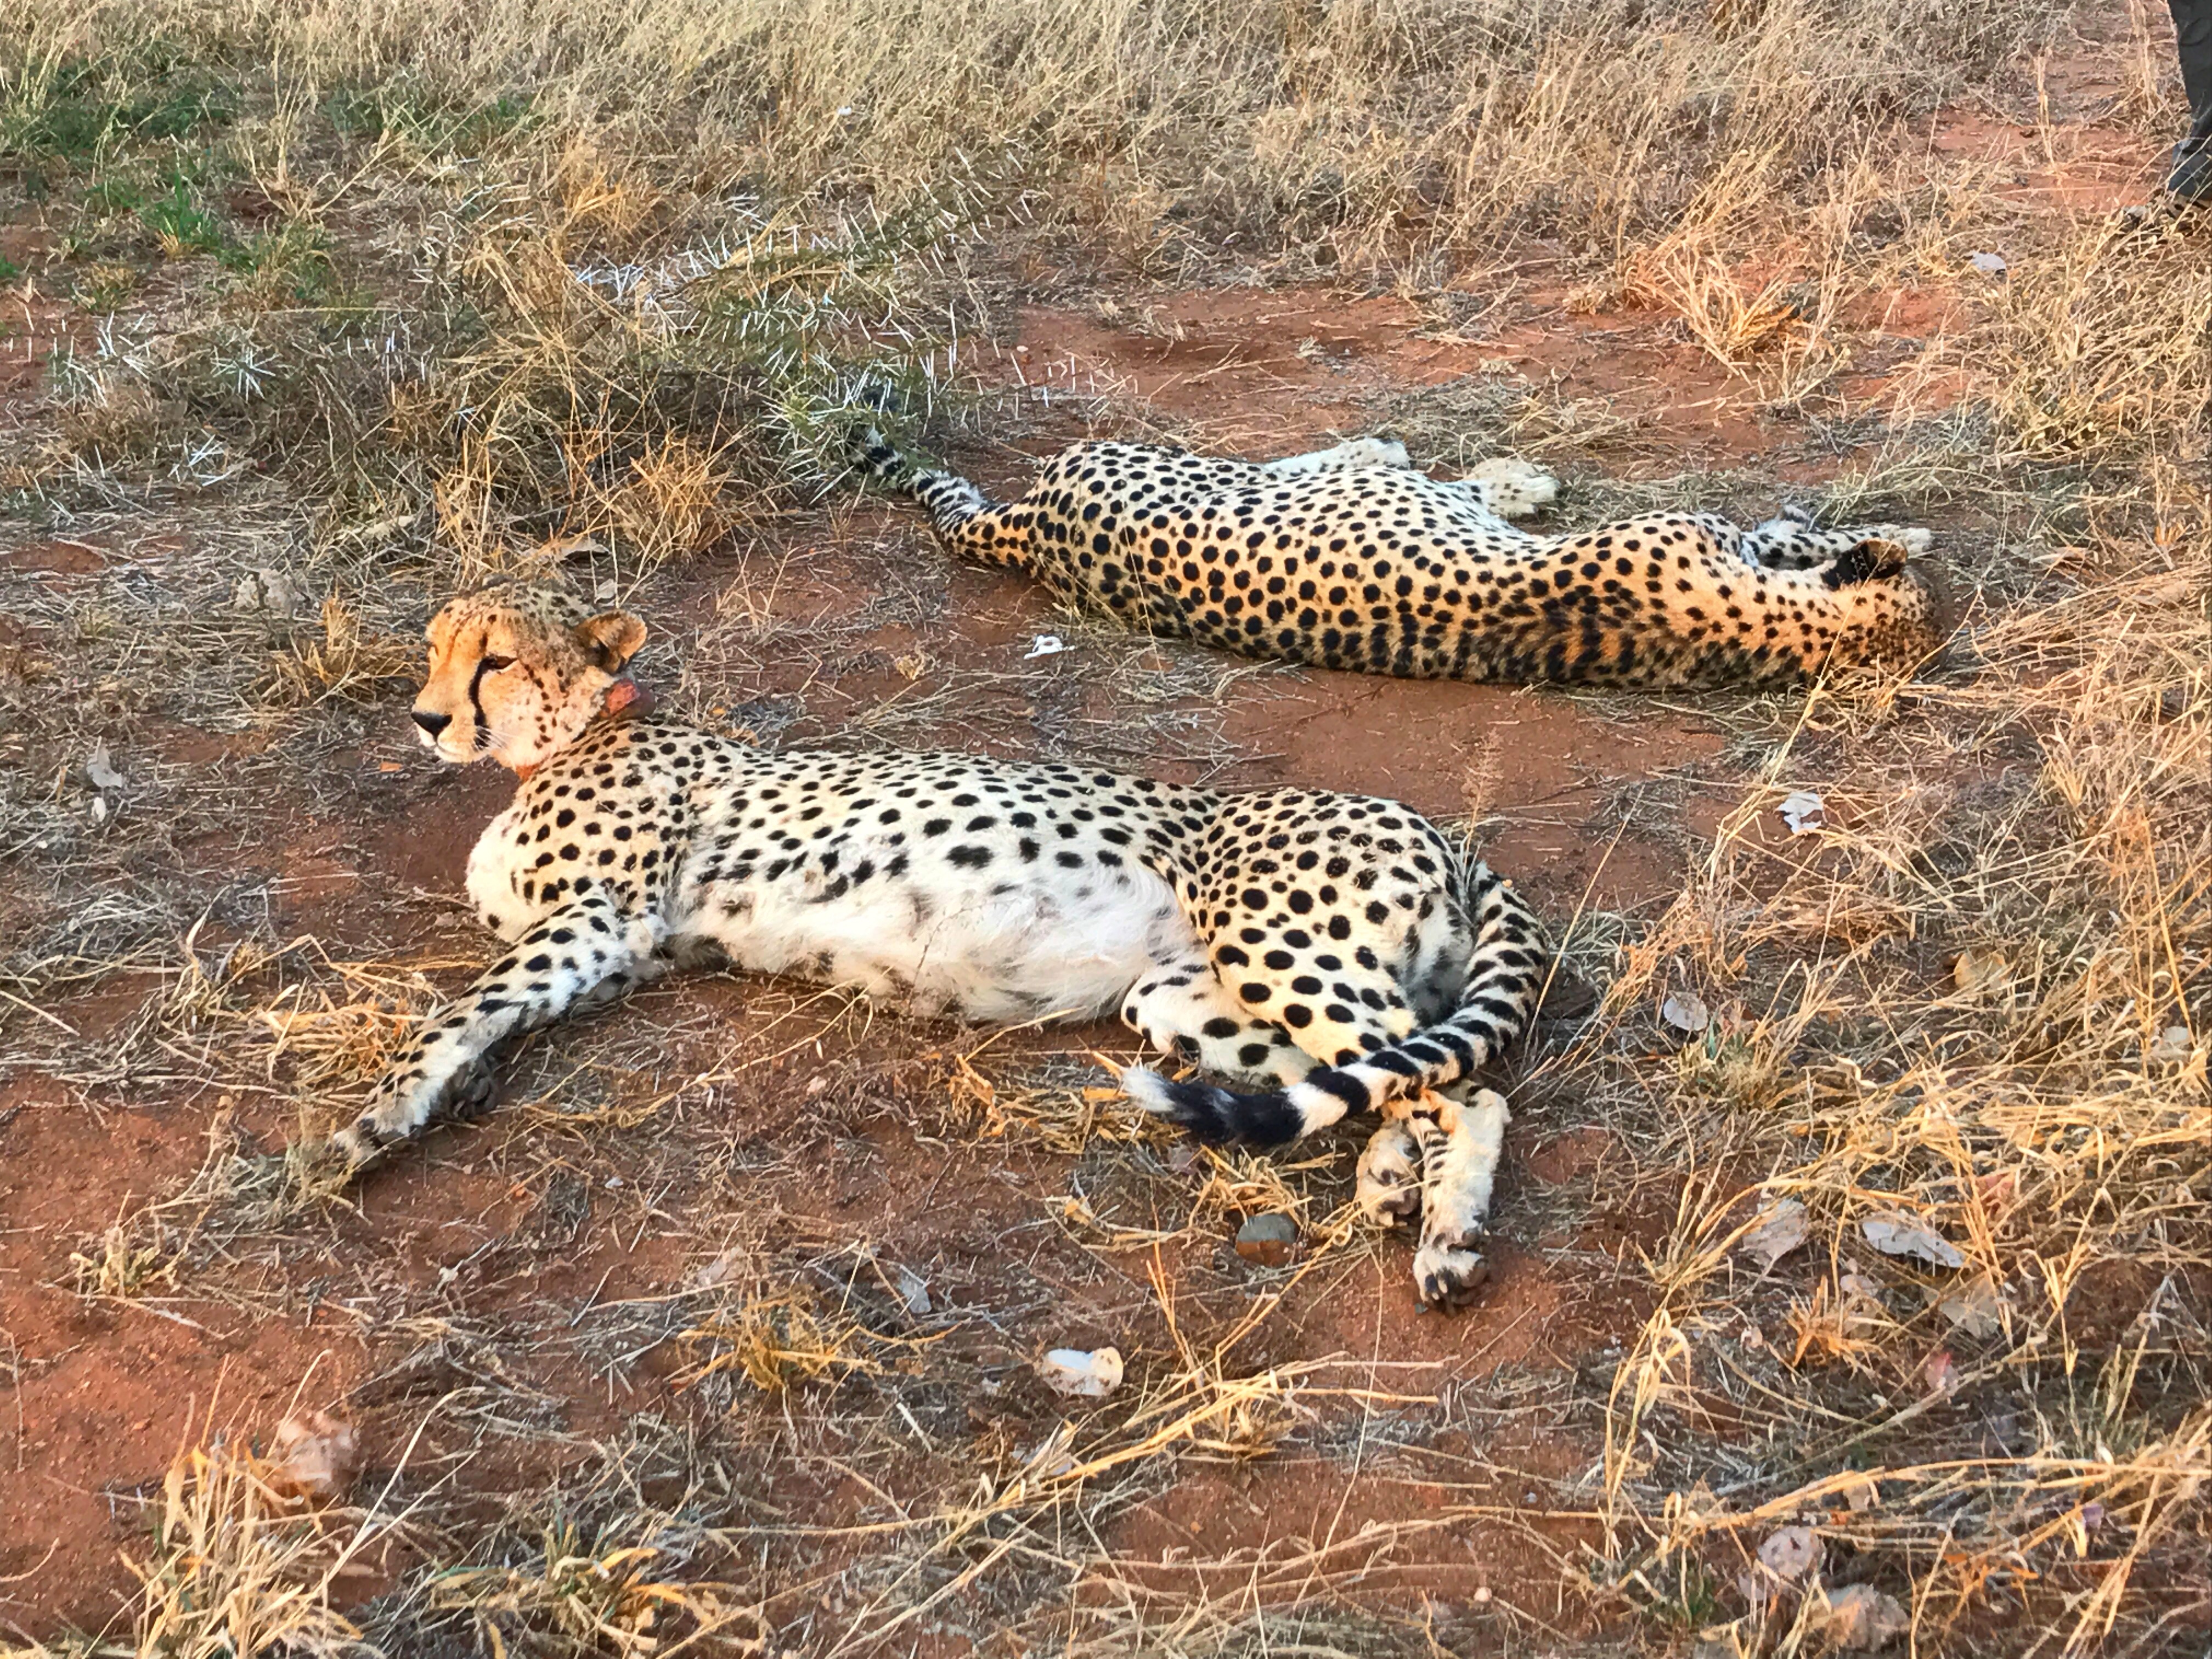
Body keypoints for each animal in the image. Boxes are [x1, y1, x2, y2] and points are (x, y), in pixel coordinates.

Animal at [335, 581, 1557, 1307]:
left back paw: (1447, 1235)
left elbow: (457, 1009)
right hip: (1182, 996)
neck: (575, 736)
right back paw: (1391, 1183)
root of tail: (1437, 827)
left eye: (495, 660)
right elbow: (496, 1008)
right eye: (434, 649)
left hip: (1275, 942)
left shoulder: (599, 919)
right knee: (1386, 1076)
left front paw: (370, 1120)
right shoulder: (611, 950)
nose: (425, 719)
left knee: (1464, 1087)